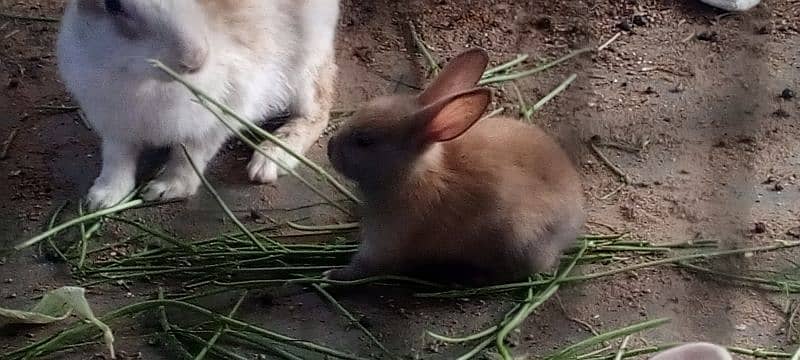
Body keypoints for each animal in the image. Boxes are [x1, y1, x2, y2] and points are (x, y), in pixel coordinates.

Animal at [57, 0, 340, 210]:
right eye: (112, 4)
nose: (195, 58)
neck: (144, 81)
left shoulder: (220, 114)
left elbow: (190, 155)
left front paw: (166, 189)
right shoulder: (115, 125)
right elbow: (117, 158)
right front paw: (102, 199)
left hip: (305, 65)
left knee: (317, 110)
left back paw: (270, 160)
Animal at [324, 48, 580, 284]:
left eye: (365, 141)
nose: (330, 147)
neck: (414, 173)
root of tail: (573, 220)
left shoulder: (385, 241)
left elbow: (362, 266)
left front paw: (332, 275)